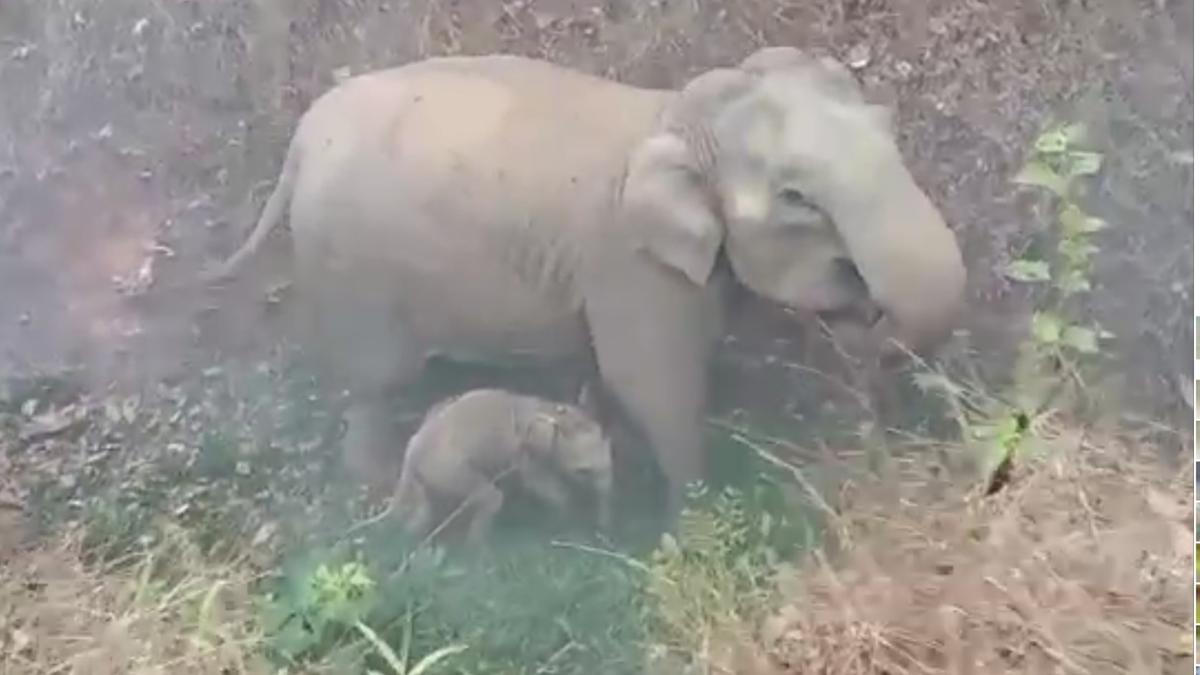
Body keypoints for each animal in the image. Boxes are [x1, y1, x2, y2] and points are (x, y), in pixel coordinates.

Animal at [204, 47, 967, 519]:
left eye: (887, 126)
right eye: (797, 198)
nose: (867, 309)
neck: (672, 116)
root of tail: (302, 139)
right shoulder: (629, 267)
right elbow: (652, 382)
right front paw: (690, 511)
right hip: (351, 268)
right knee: (374, 379)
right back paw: (370, 477)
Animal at [391, 388, 613, 545]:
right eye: (583, 472)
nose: (603, 527)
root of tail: (412, 456)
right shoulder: (528, 457)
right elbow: (548, 489)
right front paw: (562, 521)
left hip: (428, 481)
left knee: (422, 513)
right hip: (450, 470)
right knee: (490, 499)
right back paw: (478, 549)